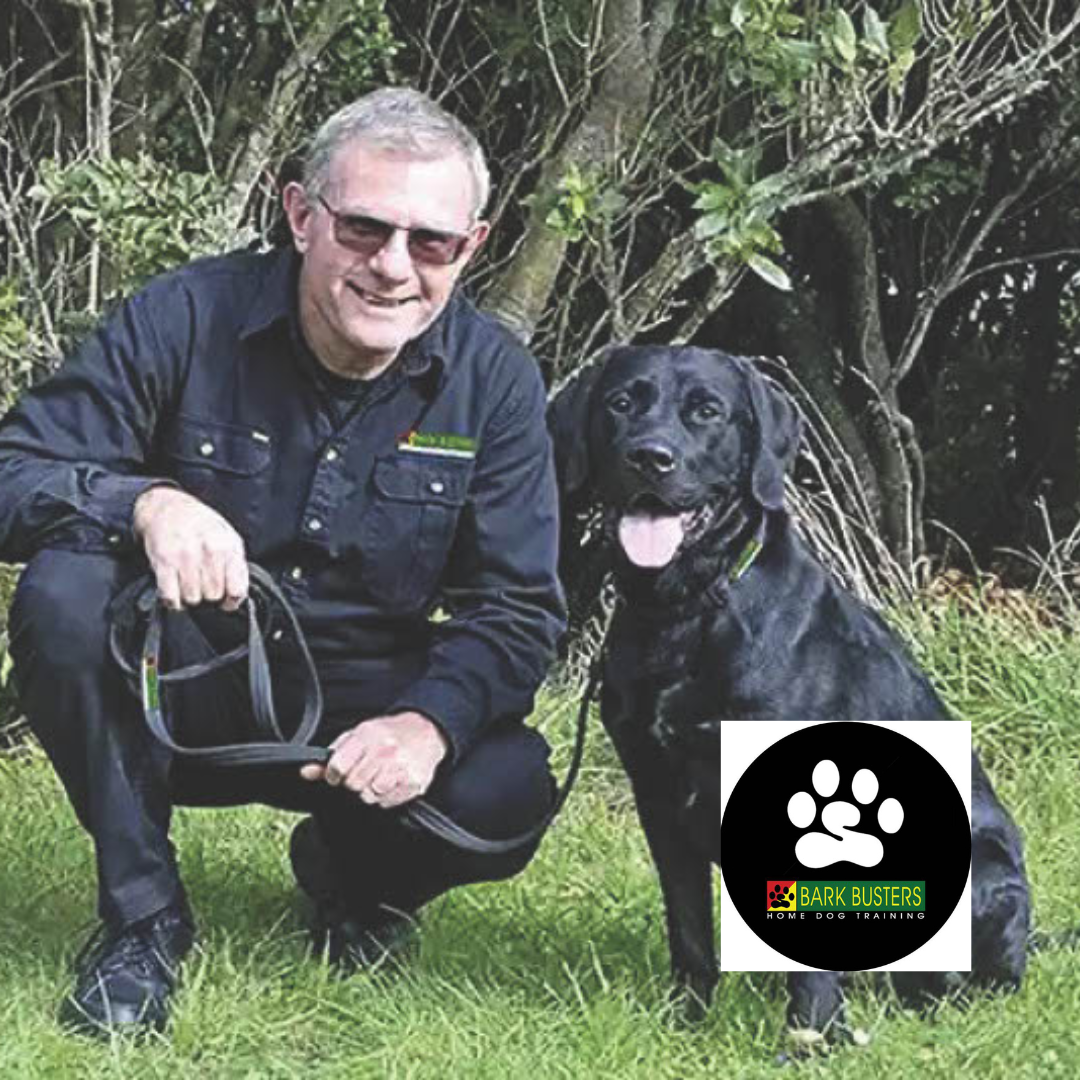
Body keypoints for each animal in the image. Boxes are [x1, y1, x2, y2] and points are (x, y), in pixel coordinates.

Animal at [548, 345, 1030, 1046]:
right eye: (621, 403)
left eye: (707, 411)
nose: (651, 456)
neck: (690, 609)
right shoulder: (658, 795)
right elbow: (689, 931)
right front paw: (687, 1023)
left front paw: (811, 1039)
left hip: (982, 876)